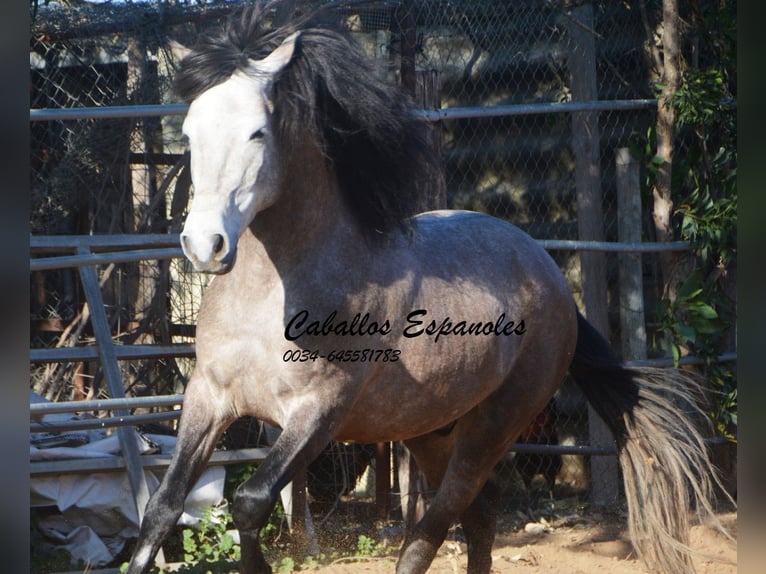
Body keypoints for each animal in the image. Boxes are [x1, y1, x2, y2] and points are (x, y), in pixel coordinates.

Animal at [129, 4, 728, 574]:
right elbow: (161, 507)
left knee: (435, 527)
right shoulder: (207, 396)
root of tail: (553, 281)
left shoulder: (319, 411)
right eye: (189, 133)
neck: (272, 297)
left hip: (492, 427)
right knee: (480, 511)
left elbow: (250, 501)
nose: (204, 245)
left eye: (256, 132)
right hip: (429, 428)